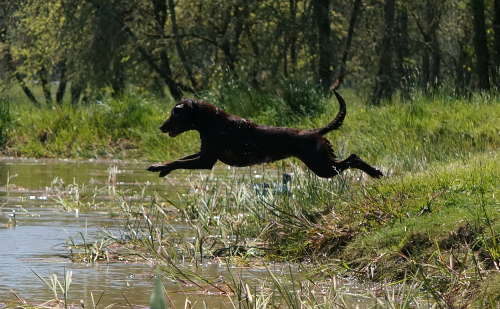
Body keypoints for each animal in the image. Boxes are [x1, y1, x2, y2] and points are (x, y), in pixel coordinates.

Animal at [147, 90, 382, 178]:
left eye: (175, 113)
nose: (160, 127)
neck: (211, 122)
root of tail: (315, 131)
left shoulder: (206, 160)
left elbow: (179, 161)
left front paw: (159, 167)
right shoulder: (204, 154)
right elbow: (179, 159)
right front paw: (161, 167)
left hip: (322, 166)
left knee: (353, 158)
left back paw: (375, 171)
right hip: (324, 162)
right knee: (350, 159)